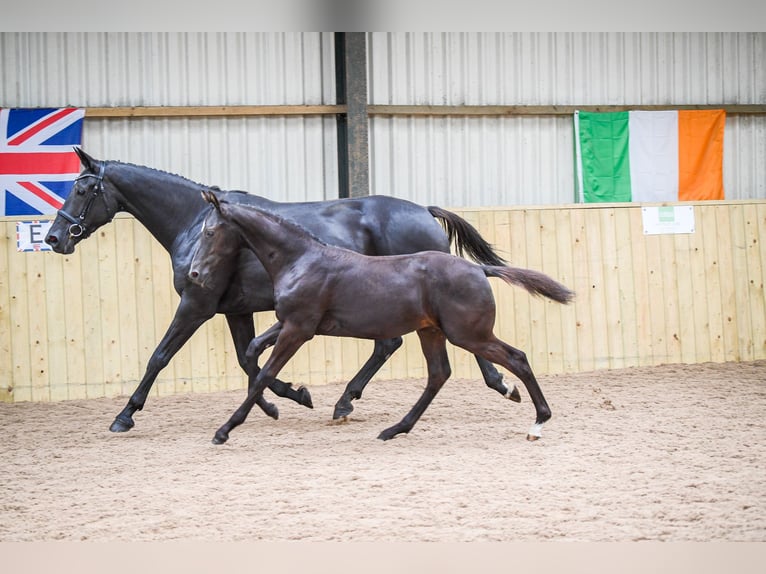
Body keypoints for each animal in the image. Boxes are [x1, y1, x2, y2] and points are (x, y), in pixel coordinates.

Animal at [45, 148, 520, 432]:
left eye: (83, 189)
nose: (54, 238)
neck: (194, 224)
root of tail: (424, 210)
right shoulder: (234, 310)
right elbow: (247, 358)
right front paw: (281, 401)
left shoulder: (196, 304)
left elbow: (160, 357)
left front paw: (125, 415)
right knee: (392, 345)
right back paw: (347, 401)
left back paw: (500, 385)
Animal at [189, 194, 572, 446]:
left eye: (209, 232)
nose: (194, 274)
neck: (300, 259)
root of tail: (478, 269)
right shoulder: (289, 323)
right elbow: (253, 351)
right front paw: (282, 402)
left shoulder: (298, 329)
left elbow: (265, 373)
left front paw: (225, 430)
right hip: (432, 331)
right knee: (439, 374)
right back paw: (395, 429)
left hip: (468, 333)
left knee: (516, 358)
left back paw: (537, 422)